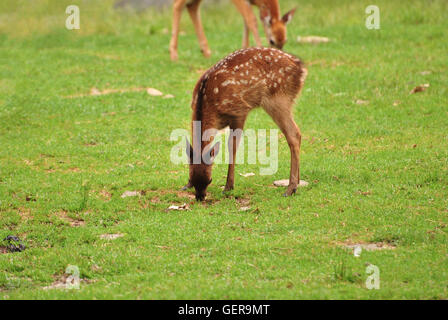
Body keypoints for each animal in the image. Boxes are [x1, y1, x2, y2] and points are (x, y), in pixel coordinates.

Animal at [184, 47, 306, 200]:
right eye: (191, 178)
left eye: (209, 180)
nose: (200, 197)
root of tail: (300, 68)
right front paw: (185, 186)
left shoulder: (239, 111)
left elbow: (232, 146)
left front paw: (228, 186)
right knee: (298, 133)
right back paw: (298, 182)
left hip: (278, 98)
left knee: (293, 134)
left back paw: (290, 188)